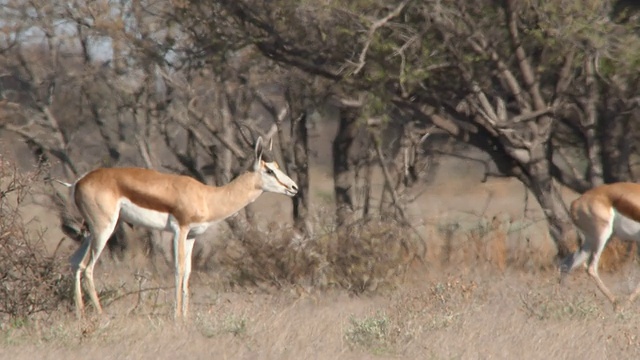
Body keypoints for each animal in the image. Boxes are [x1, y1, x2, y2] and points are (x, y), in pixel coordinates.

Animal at [62, 136, 298, 320]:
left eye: (277, 167)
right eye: (269, 170)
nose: (294, 187)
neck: (207, 197)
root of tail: (79, 181)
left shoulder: (192, 236)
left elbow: (188, 273)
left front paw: (185, 317)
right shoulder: (180, 231)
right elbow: (178, 269)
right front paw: (176, 317)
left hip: (91, 232)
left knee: (75, 263)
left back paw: (80, 315)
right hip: (104, 230)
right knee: (88, 268)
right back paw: (101, 315)